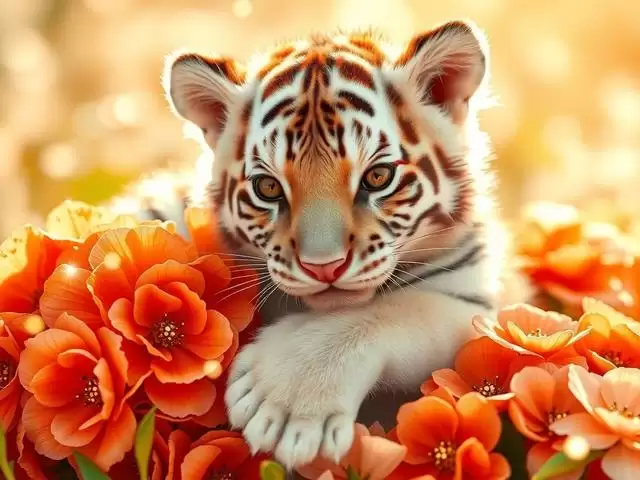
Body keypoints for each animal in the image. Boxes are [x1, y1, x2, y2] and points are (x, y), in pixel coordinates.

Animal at [110, 19, 529, 471]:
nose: (323, 266)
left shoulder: (474, 301)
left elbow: (400, 307)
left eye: (378, 177)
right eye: (268, 187)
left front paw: (287, 405)